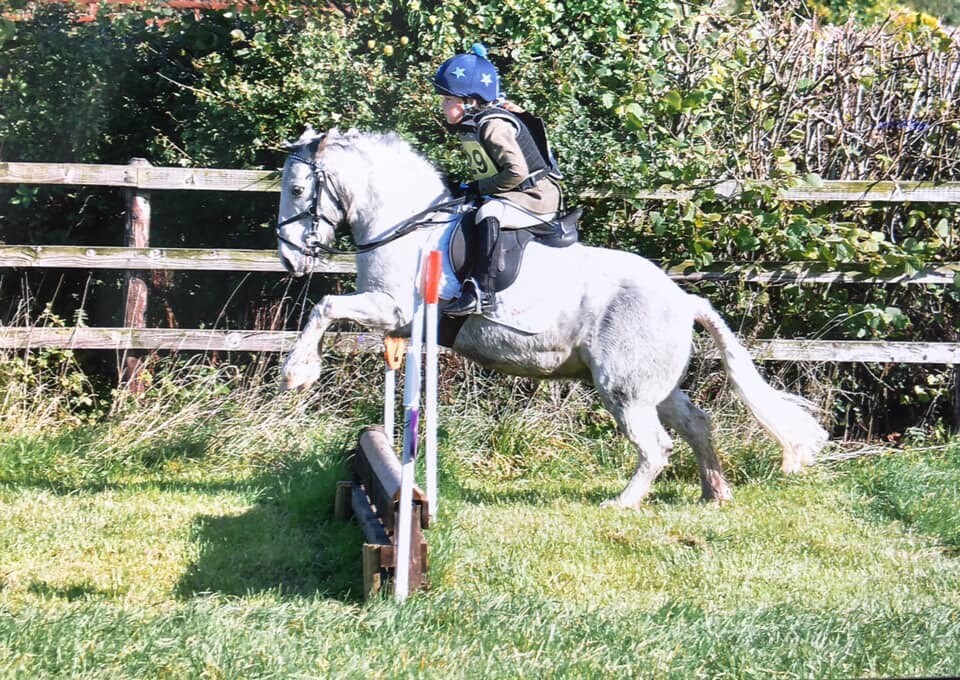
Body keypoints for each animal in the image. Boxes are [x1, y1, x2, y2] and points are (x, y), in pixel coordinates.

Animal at [275, 126, 828, 509]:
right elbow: (329, 309)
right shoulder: (392, 319)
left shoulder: (391, 308)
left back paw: (623, 503)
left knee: (655, 445)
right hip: (655, 385)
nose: (288, 260)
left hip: (622, 388)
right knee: (696, 424)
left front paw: (298, 373)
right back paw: (714, 492)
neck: (405, 227)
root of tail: (683, 299)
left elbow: (324, 307)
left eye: (299, 191)